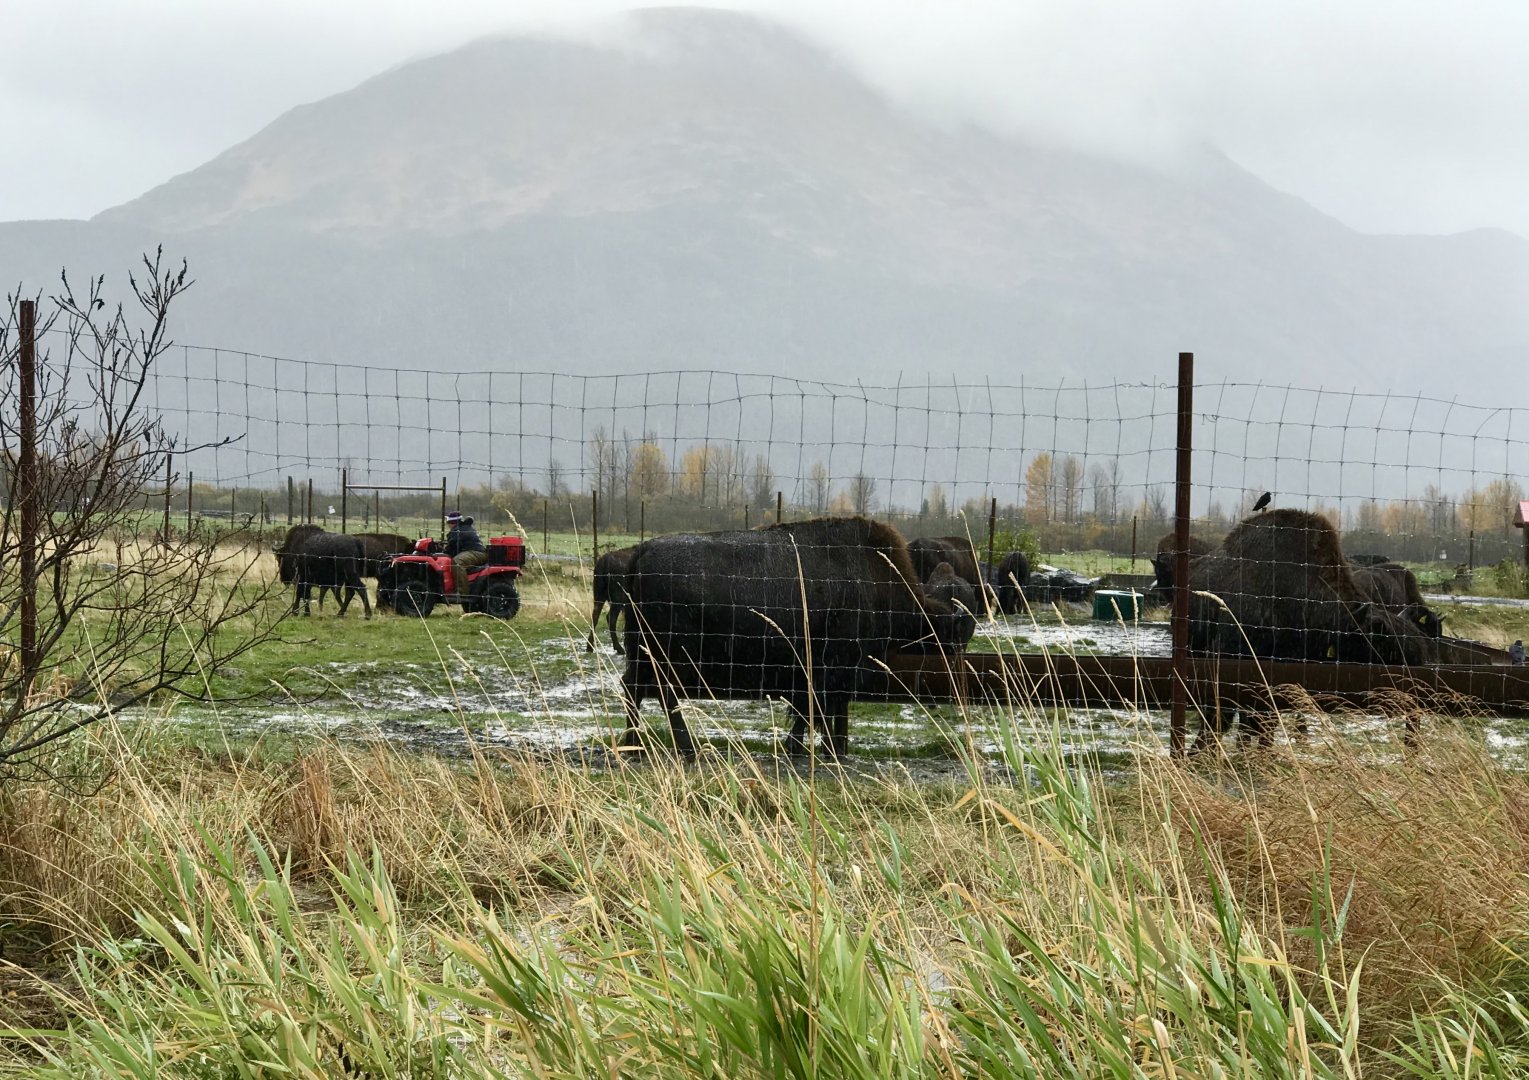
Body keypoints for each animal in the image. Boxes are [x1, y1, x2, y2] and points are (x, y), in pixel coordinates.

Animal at [620, 516, 968, 757]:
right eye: (956, 633)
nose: (958, 667)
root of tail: (642, 551)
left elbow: (812, 707)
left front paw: (805, 748)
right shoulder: (832, 666)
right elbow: (817, 707)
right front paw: (816, 749)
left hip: (644, 650)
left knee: (632, 687)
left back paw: (634, 746)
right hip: (670, 652)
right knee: (662, 693)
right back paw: (685, 748)